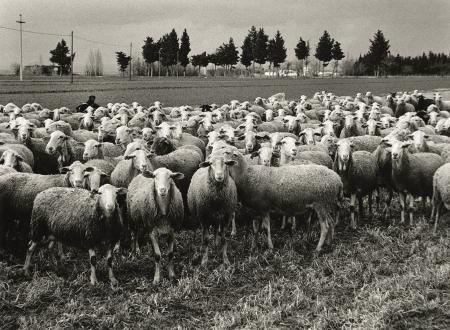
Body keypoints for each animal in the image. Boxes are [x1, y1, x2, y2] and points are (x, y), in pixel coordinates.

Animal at [210, 145, 342, 253]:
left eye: (228, 152)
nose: (210, 157)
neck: (246, 175)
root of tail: (337, 179)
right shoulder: (255, 210)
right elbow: (255, 229)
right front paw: (253, 246)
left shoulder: (264, 208)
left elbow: (266, 228)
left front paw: (270, 247)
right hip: (326, 204)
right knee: (330, 223)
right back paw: (329, 243)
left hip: (321, 204)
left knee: (325, 226)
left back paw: (318, 248)